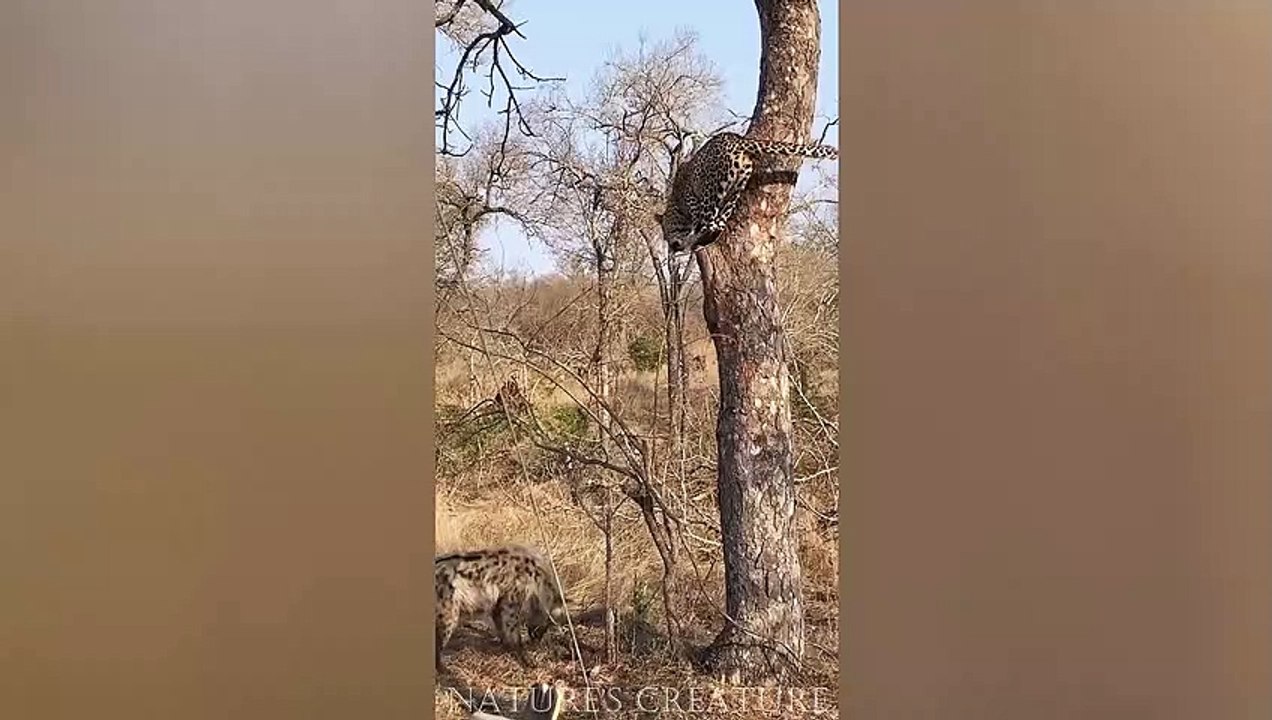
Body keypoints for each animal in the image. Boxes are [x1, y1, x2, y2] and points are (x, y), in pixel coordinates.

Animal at [654, 131, 839, 254]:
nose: (673, 247)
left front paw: (687, 244)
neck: (676, 205)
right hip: (738, 184)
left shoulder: (693, 202)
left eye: (666, 234)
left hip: (712, 192)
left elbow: (698, 226)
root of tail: (738, 140)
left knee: (712, 224)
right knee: (719, 223)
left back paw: (699, 243)